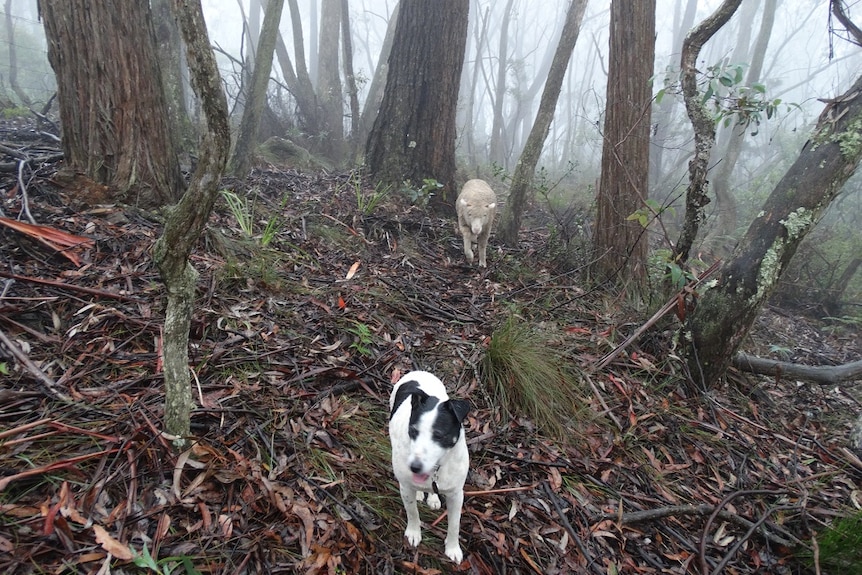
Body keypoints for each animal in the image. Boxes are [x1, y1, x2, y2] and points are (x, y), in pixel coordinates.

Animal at [392, 368, 472, 564]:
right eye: (413, 431)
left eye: (439, 435)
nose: (414, 467)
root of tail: (418, 371)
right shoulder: (405, 487)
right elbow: (412, 511)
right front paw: (414, 532)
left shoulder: (456, 495)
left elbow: (454, 525)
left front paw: (453, 548)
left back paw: (433, 497)